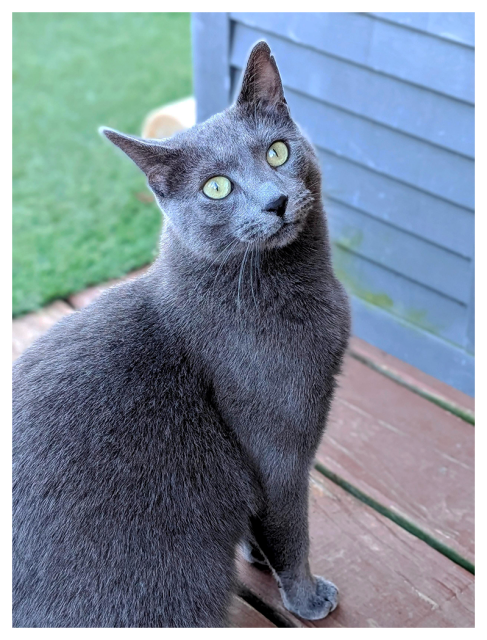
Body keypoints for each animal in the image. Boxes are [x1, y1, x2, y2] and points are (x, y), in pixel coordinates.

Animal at [11, 42, 350, 628]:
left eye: (277, 153)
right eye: (216, 188)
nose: (275, 201)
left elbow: (265, 526)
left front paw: (257, 556)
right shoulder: (279, 453)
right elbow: (292, 534)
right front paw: (308, 599)